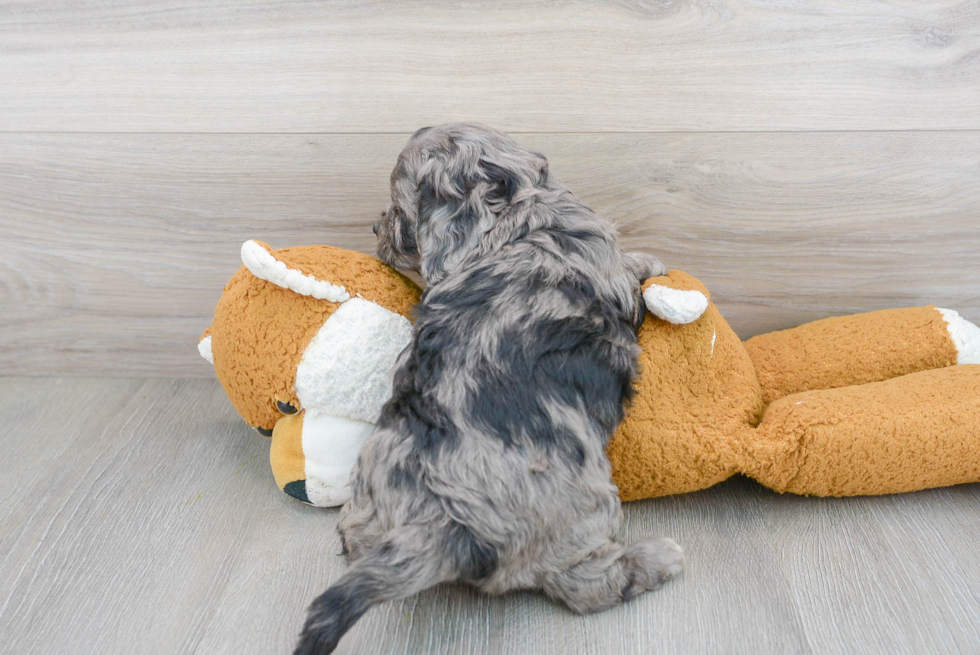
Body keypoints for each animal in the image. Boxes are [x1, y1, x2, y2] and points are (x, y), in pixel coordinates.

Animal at [294, 123, 684, 655]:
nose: (376, 230)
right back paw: (655, 560)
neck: (520, 218)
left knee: (354, 535)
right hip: (586, 509)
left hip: (371, 489)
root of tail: (442, 521)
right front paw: (653, 261)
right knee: (586, 585)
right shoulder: (609, 265)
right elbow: (631, 266)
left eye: (399, 210)